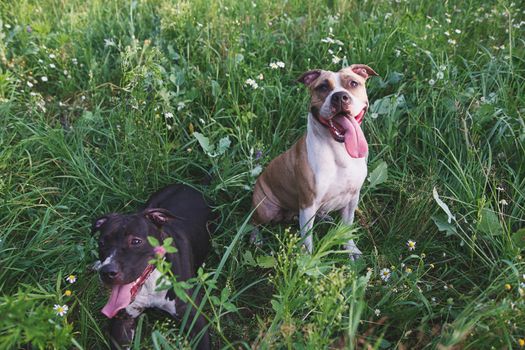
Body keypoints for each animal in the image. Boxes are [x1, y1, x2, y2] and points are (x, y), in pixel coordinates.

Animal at [92, 185, 213, 348]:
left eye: (136, 241)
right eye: (102, 243)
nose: (107, 272)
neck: (151, 281)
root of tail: (185, 185)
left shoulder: (194, 318)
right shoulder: (122, 322)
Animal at [251, 64, 376, 258]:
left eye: (353, 83)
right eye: (322, 87)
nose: (340, 97)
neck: (338, 151)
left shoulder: (352, 199)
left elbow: (347, 228)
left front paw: (351, 249)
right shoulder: (307, 205)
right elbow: (307, 241)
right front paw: (307, 261)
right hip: (265, 209)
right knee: (254, 221)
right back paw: (256, 237)